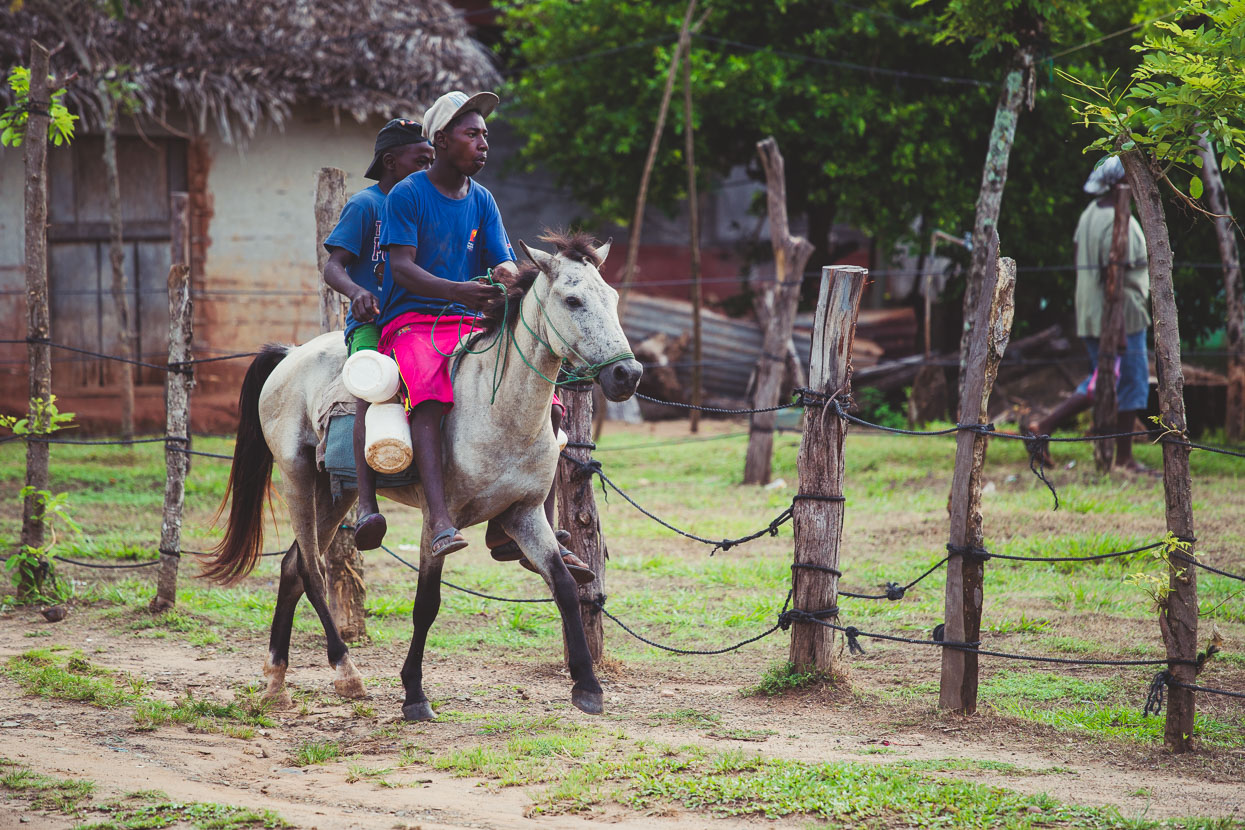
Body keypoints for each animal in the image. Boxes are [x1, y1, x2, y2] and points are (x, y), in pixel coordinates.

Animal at [204, 232, 642, 721]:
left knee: (292, 566)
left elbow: (563, 585)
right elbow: (426, 605)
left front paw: (587, 684)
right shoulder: (436, 522)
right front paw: (414, 693)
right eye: (572, 299)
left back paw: (275, 680)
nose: (628, 374)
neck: (498, 410)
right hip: (296, 476)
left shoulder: (525, 514)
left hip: (334, 494)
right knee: (313, 570)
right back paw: (346, 672)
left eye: (613, 298)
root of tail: (289, 355)